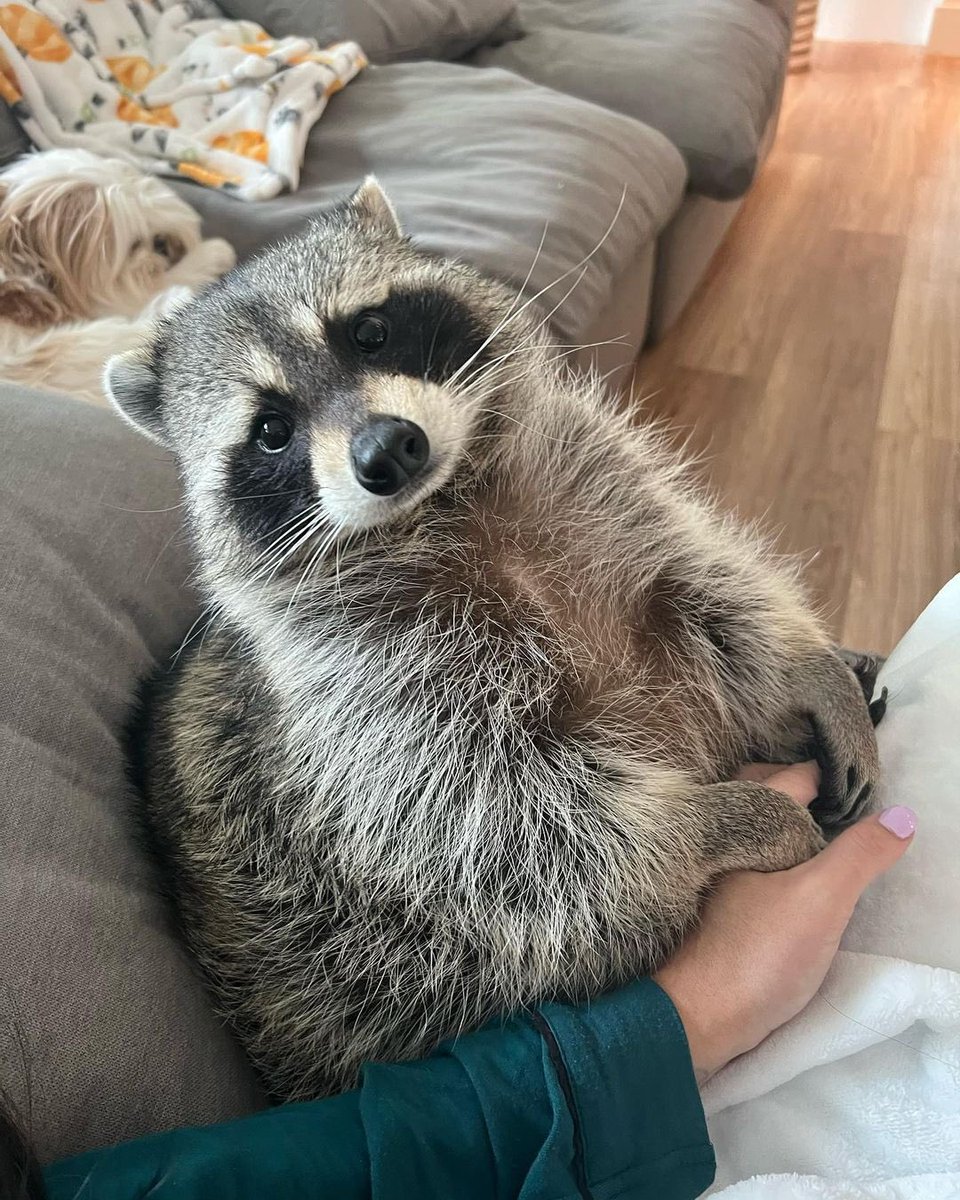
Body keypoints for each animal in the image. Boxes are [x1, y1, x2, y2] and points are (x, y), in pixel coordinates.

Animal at [105, 179, 880, 1103]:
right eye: (270, 430)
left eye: (368, 331)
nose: (387, 451)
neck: (448, 502)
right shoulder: (356, 690)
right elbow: (502, 825)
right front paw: (710, 823)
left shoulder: (604, 491)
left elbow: (708, 583)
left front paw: (807, 666)